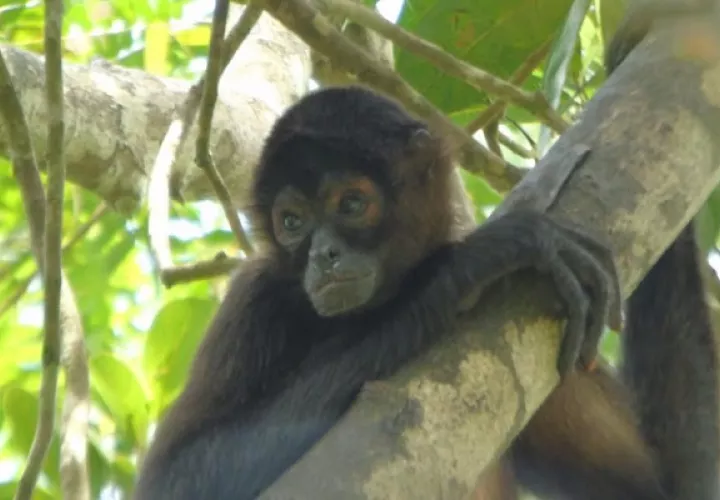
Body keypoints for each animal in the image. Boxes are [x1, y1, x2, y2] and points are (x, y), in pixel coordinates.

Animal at [132, 86, 621, 499]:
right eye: (291, 222)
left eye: (351, 204)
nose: (323, 254)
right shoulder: (255, 298)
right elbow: (175, 479)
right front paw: (465, 265)